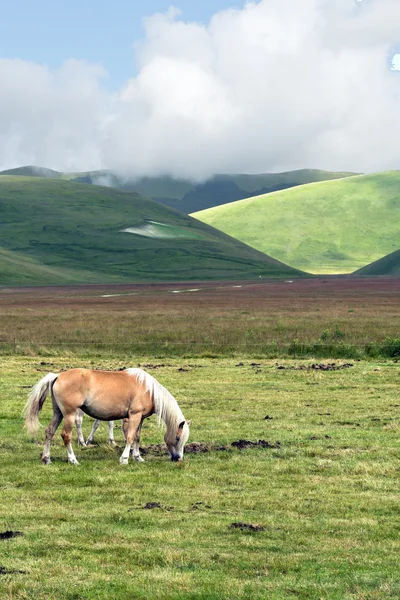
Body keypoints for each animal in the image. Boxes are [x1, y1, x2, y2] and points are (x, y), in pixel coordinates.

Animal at [24, 368, 191, 466]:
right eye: (177, 438)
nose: (178, 458)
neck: (148, 390)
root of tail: (57, 376)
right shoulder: (134, 416)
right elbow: (130, 437)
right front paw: (124, 459)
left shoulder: (141, 418)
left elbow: (137, 437)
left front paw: (138, 457)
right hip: (69, 415)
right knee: (66, 435)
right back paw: (73, 459)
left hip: (58, 414)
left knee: (49, 432)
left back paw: (46, 458)